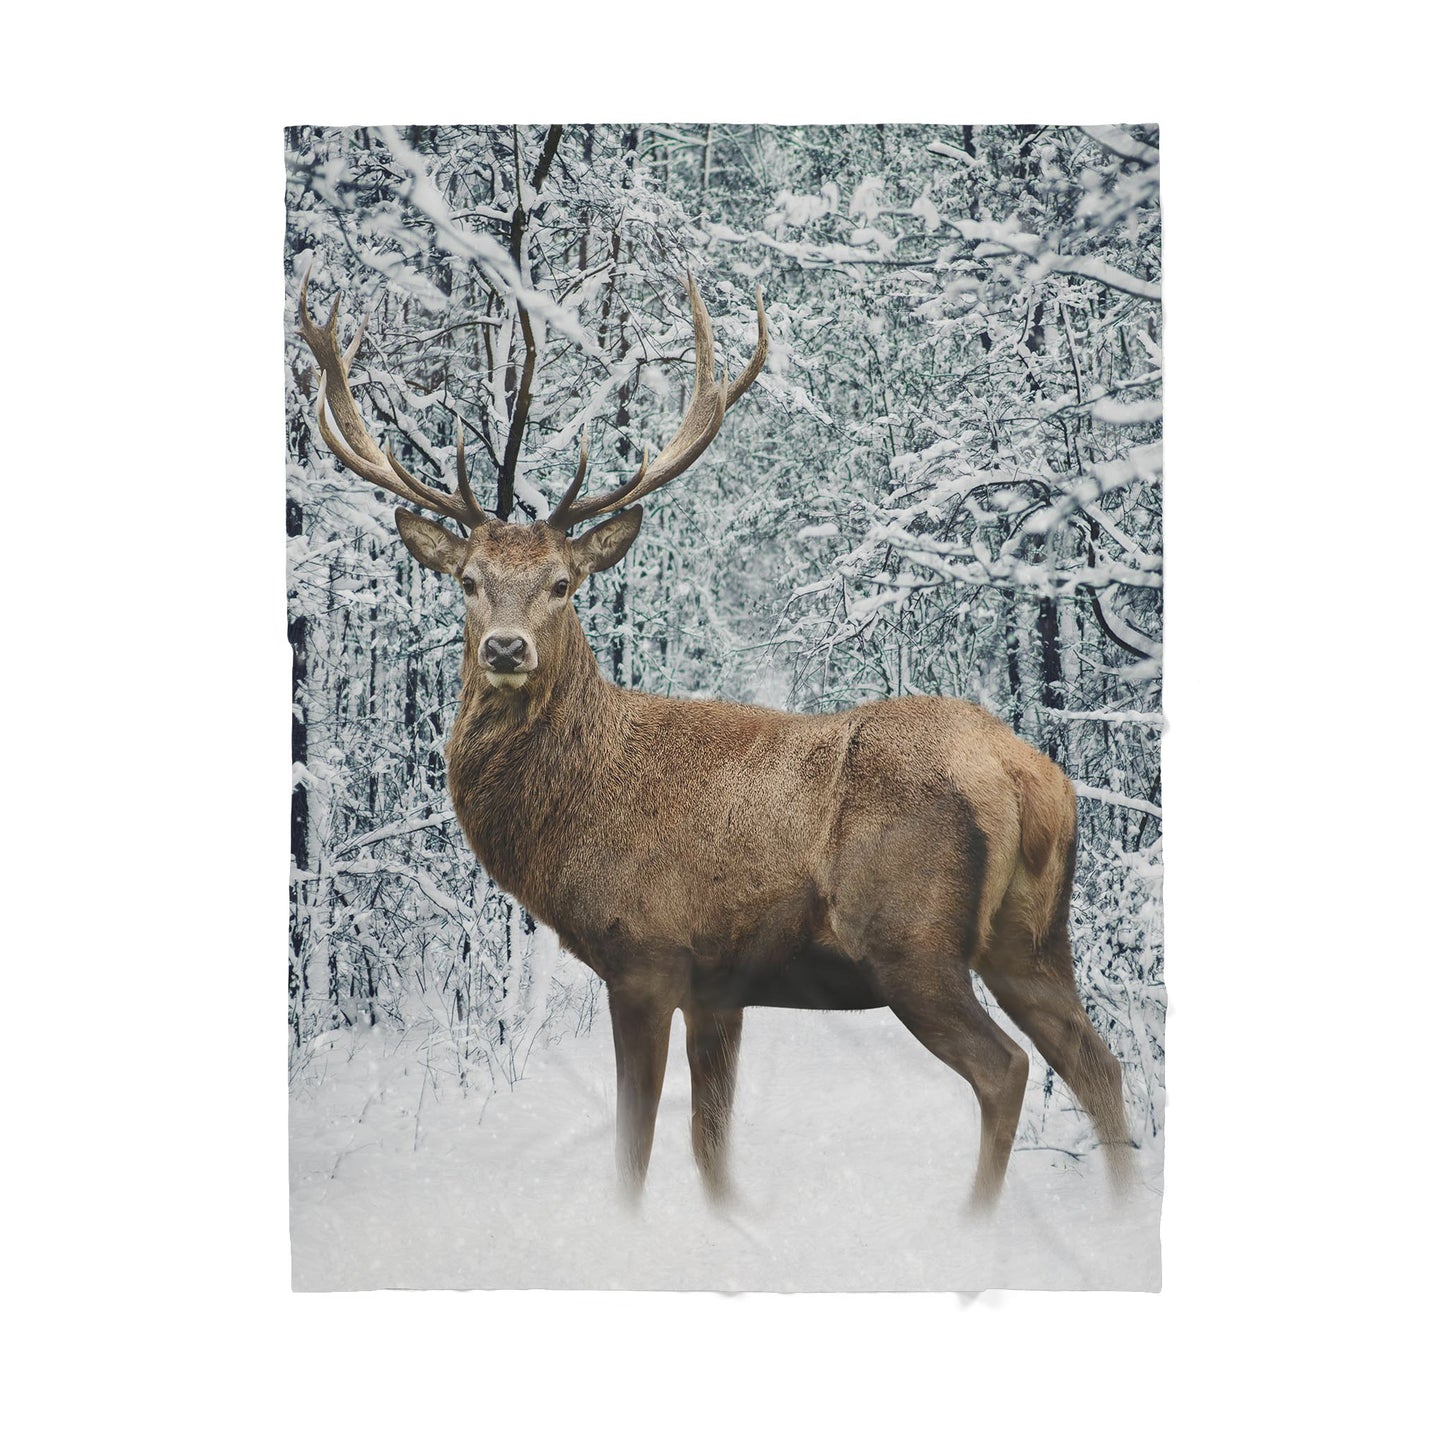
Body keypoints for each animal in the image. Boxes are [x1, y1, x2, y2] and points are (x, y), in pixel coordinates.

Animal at [297, 267, 1135, 1210]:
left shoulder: (645, 953)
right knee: (1097, 1064)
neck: (573, 816)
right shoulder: (719, 986)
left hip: (910, 938)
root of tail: (1029, 776)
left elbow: (633, 1148)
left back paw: (975, 1219)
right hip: (1032, 937)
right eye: (468, 581)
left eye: (561, 583)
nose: (505, 649)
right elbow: (711, 1151)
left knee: (1007, 1068)